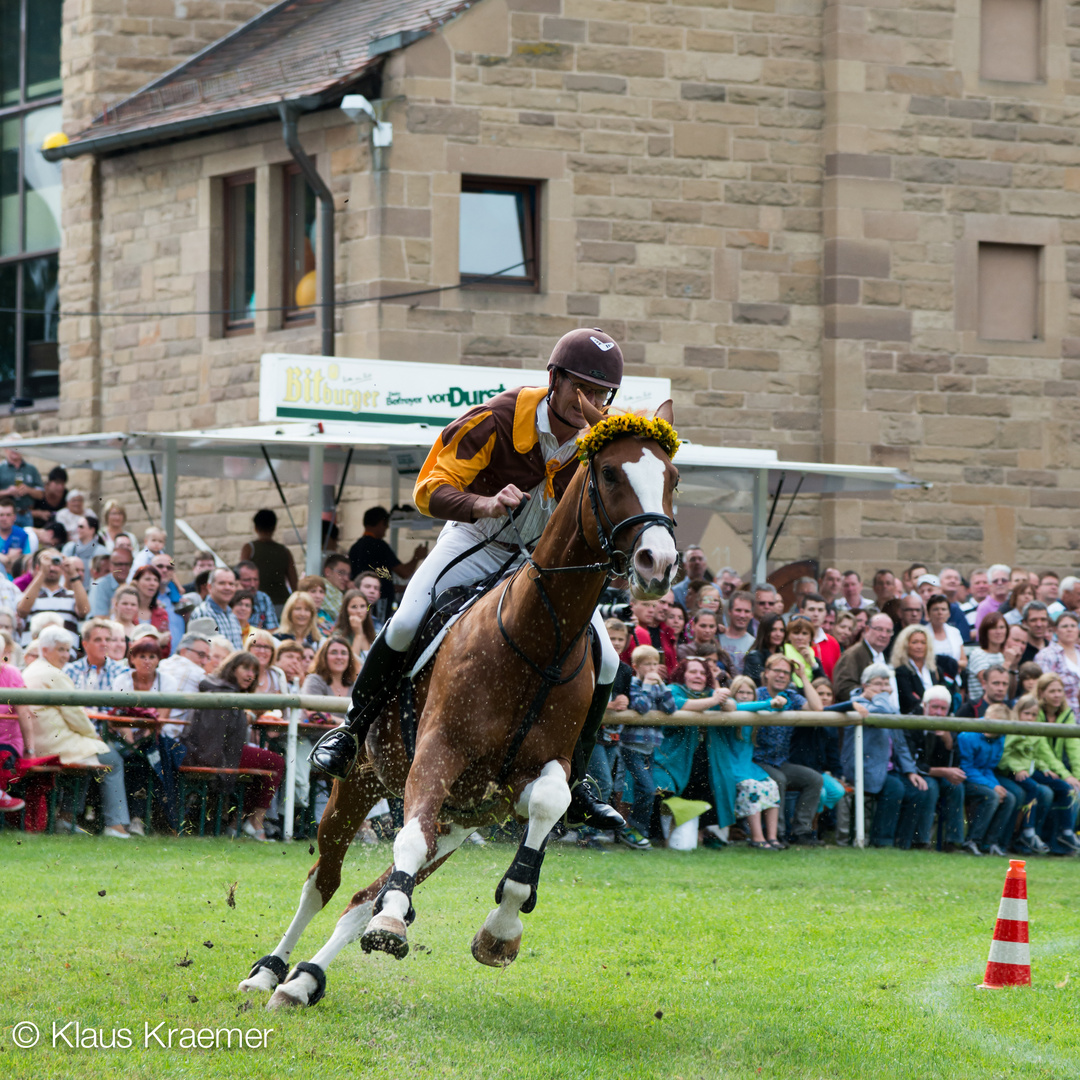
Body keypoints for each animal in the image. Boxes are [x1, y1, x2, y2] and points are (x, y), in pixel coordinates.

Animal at [241, 399, 678, 1010]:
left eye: (673, 478)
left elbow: (547, 805)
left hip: (456, 823)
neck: (537, 639)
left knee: (361, 899)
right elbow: (404, 840)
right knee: (323, 883)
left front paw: (501, 930)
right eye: (611, 473)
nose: (658, 563)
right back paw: (269, 972)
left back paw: (304, 980)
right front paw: (396, 925)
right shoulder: (437, 752)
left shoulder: (533, 775)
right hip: (360, 783)